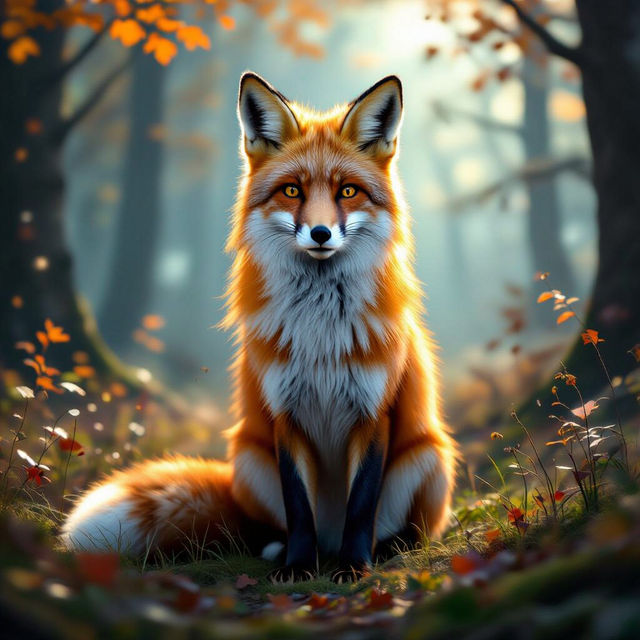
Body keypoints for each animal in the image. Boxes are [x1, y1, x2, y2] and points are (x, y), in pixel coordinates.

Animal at [61, 72, 457, 582]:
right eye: (292, 191)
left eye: (348, 191)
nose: (321, 233)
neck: (319, 332)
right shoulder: (282, 412)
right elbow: (298, 506)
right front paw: (298, 568)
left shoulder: (375, 413)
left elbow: (361, 508)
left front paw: (354, 567)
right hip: (249, 458)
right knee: (267, 528)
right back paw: (282, 550)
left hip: (429, 454)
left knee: (413, 528)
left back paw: (386, 547)